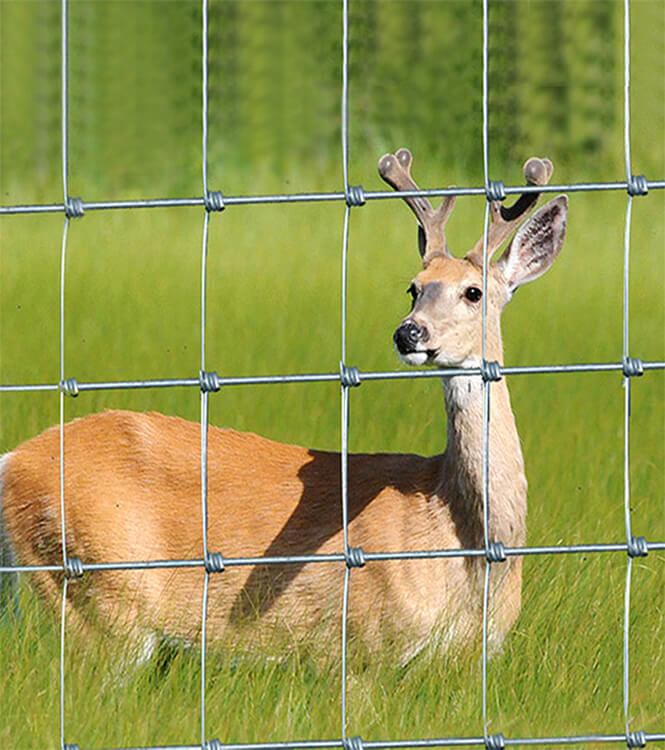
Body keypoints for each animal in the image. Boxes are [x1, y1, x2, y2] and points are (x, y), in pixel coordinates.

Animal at [0, 150, 568, 660]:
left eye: (474, 292)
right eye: (413, 288)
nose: (409, 333)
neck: (468, 543)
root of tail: (12, 462)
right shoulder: (358, 644)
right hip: (96, 595)